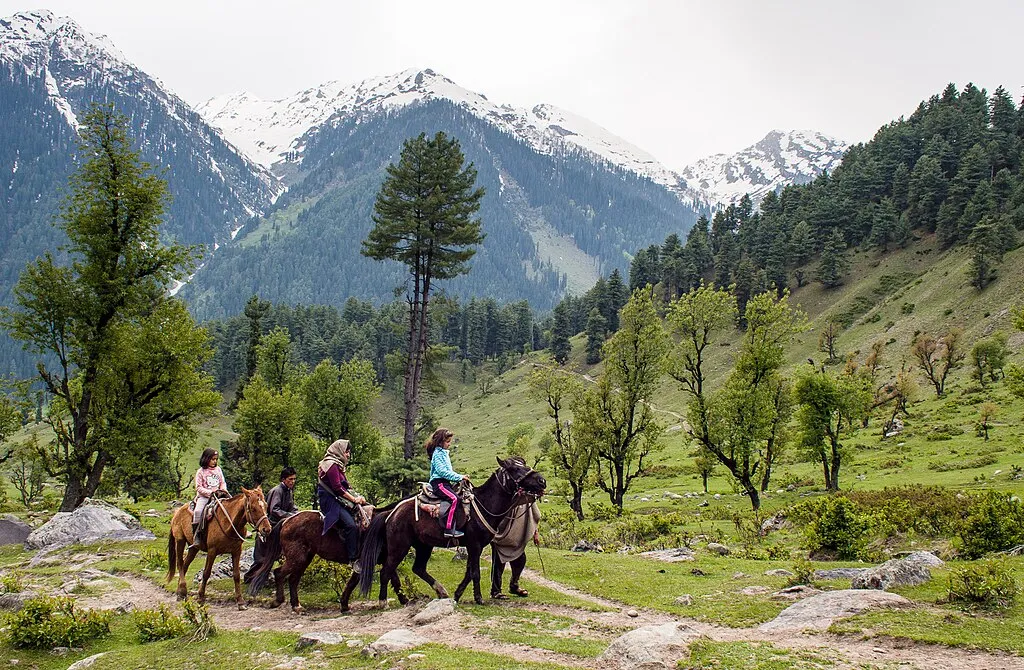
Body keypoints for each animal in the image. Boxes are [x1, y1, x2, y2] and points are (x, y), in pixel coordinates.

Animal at [245, 503, 403, 614]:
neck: (385, 522)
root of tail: (286, 521)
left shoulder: (386, 559)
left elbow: (392, 579)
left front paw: (404, 600)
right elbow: (358, 581)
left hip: (305, 558)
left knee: (293, 579)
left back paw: (296, 605)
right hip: (297, 558)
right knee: (279, 573)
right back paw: (278, 601)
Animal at [358, 457, 546, 606]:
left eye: (524, 464)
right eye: (514, 468)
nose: (542, 481)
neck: (485, 504)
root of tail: (391, 513)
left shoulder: (473, 547)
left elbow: (469, 572)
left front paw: (457, 594)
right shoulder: (474, 545)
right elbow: (475, 573)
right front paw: (479, 598)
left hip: (423, 546)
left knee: (417, 568)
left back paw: (433, 593)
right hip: (399, 547)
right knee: (386, 571)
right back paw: (384, 601)